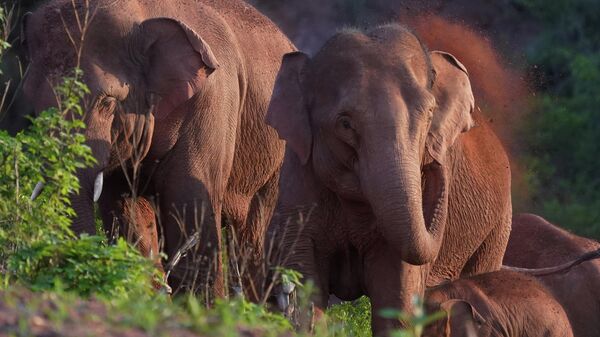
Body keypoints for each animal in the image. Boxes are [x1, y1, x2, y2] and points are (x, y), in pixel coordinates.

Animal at [22, 0, 294, 300]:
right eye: (31, 102)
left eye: (106, 102)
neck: (142, 14)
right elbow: (126, 210)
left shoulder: (211, 103)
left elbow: (191, 208)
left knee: (258, 238)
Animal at [266, 23, 510, 334]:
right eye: (345, 123)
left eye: (429, 113)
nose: (436, 159)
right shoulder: (298, 181)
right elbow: (305, 288)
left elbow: (397, 296)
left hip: (496, 229)